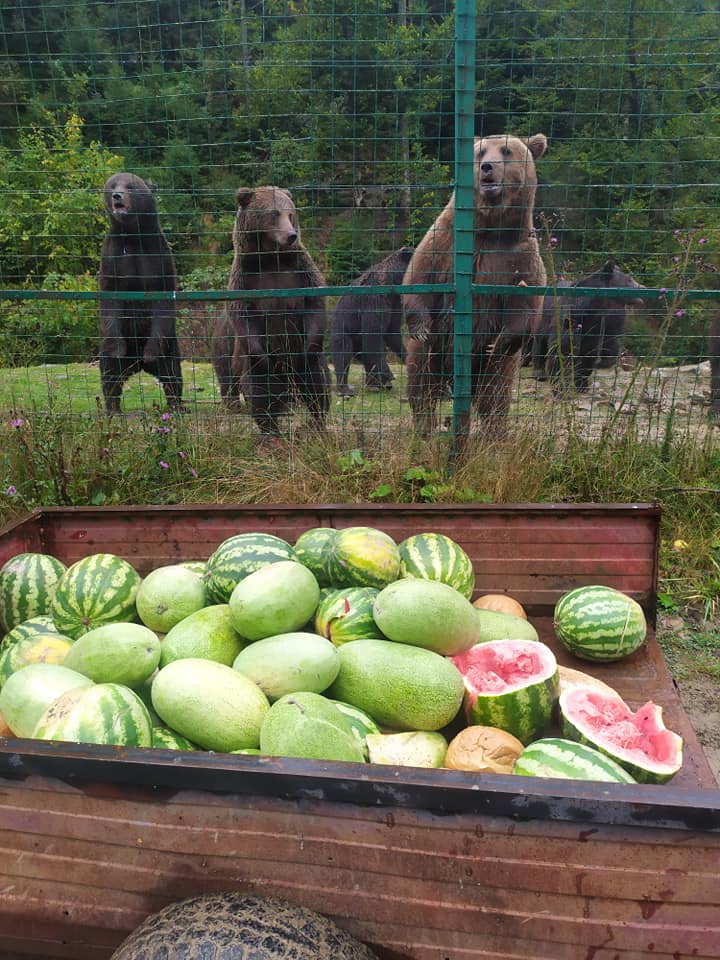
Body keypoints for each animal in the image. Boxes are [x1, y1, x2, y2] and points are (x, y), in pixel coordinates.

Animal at [97, 172, 183, 412]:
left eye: (130, 186)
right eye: (112, 185)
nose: (117, 196)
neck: (134, 237)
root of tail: (136, 365)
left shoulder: (157, 257)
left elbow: (162, 297)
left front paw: (151, 354)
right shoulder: (112, 258)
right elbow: (110, 299)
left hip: (169, 345)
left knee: (172, 374)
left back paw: (176, 406)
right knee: (110, 374)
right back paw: (112, 408)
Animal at [211, 186, 330, 448]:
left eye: (290, 213)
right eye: (274, 213)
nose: (291, 235)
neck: (270, 259)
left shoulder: (300, 271)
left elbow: (315, 303)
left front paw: (310, 346)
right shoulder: (246, 279)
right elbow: (244, 317)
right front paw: (266, 360)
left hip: (304, 366)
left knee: (317, 386)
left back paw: (317, 426)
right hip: (237, 355)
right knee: (258, 393)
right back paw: (270, 434)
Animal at [330, 249, 414, 400]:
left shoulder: (395, 303)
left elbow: (392, 333)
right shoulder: (374, 299)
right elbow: (373, 332)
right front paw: (389, 374)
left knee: (369, 356)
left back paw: (375, 384)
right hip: (344, 330)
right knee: (343, 353)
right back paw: (345, 388)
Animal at [402, 130, 548, 436]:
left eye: (506, 151)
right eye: (480, 152)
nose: (487, 168)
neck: (488, 229)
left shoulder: (518, 257)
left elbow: (526, 303)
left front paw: (500, 341)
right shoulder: (444, 239)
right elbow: (420, 274)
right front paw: (419, 326)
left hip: (492, 367)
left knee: (495, 398)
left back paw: (493, 436)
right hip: (432, 353)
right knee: (421, 388)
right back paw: (425, 431)